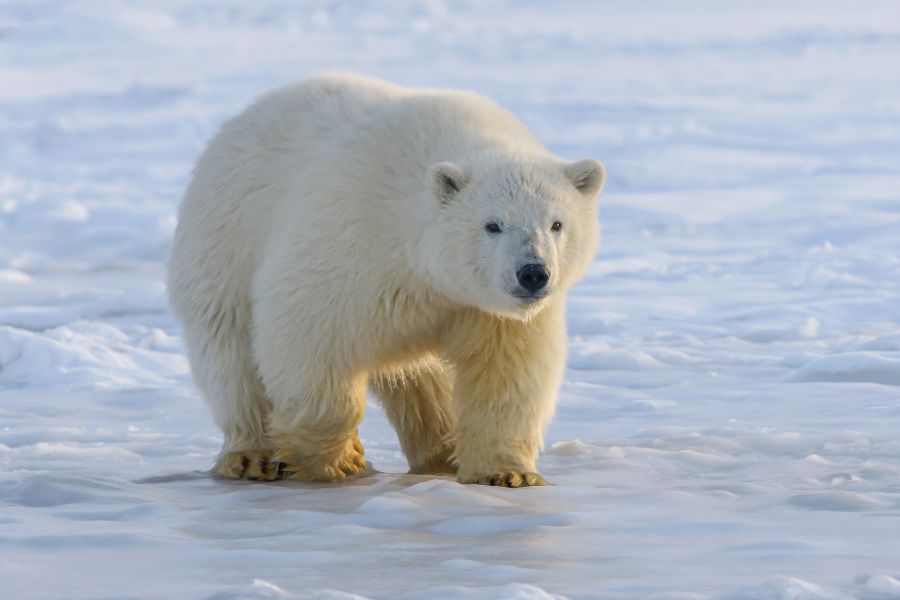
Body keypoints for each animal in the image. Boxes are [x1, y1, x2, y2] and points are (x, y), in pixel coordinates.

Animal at [167, 73, 605, 487]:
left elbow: (506, 374)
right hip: (225, 242)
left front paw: (508, 473)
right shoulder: (352, 240)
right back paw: (251, 456)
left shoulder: (484, 310)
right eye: (492, 224)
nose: (533, 273)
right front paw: (339, 458)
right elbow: (305, 330)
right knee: (231, 355)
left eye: (557, 224)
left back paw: (441, 452)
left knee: (422, 382)